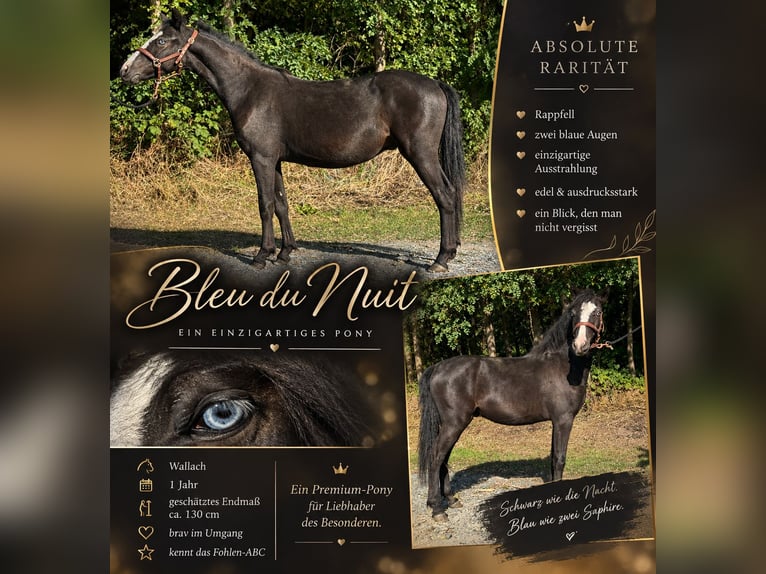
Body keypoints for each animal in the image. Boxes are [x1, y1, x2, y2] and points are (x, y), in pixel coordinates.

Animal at [118, 10, 465, 272]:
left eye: (161, 41)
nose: (124, 70)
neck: (249, 90)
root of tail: (434, 83)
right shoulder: (275, 160)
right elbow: (282, 204)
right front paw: (285, 252)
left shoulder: (260, 157)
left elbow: (265, 204)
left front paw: (262, 255)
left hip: (420, 154)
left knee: (445, 196)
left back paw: (440, 259)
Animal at [417, 289, 607, 520]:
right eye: (573, 313)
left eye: (597, 312)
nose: (580, 346)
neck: (564, 366)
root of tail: (437, 367)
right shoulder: (564, 420)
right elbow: (560, 458)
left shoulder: (556, 422)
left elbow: (553, 458)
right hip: (454, 423)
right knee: (436, 458)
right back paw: (437, 508)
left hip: (452, 424)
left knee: (443, 457)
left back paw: (451, 500)